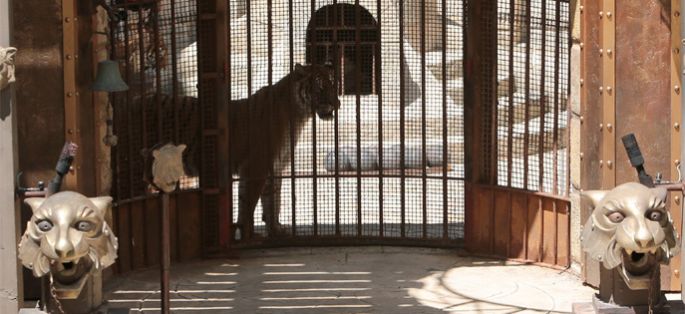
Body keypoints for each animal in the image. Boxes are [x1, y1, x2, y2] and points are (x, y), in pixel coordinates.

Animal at [231, 63, 340, 240]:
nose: (337, 104)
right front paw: (249, 236)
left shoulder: (275, 165)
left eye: (334, 84)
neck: (298, 116)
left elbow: (273, 200)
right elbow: (247, 204)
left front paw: (276, 230)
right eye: (320, 86)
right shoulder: (256, 166)